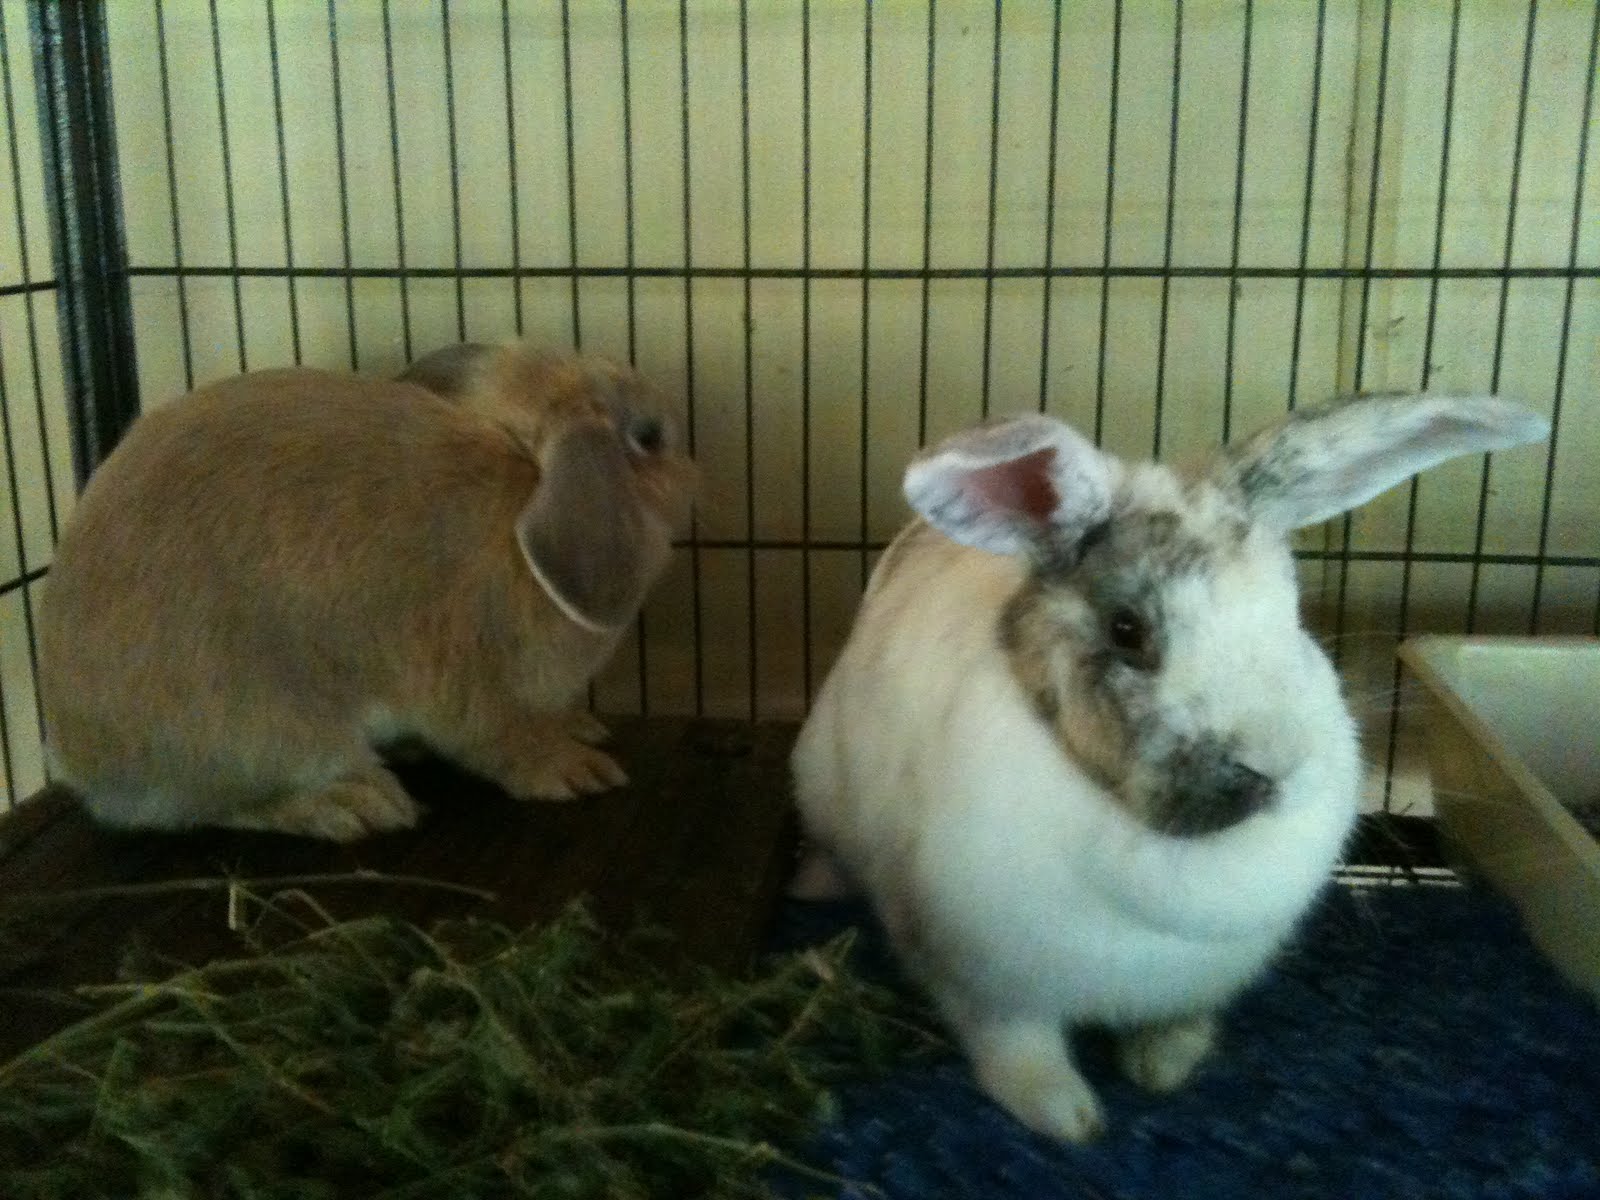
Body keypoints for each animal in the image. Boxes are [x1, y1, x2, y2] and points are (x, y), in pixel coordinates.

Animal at [37, 341, 696, 842]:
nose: (696, 467)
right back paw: (352, 805)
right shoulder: (470, 679)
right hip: (257, 727)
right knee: (215, 806)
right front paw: (575, 769)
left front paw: (580, 726)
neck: (520, 482)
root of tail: (77, 755)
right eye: (648, 437)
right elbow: (501, 741)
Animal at [789, 392, 1549, 1142]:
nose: (1277, 763)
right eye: (1129, 631)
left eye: (1293, 613)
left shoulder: (1196, 982)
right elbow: (1019, 1048)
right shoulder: (982, 983)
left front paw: (1168, 1066)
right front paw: (1067, 1118)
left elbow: (1174, 1025)